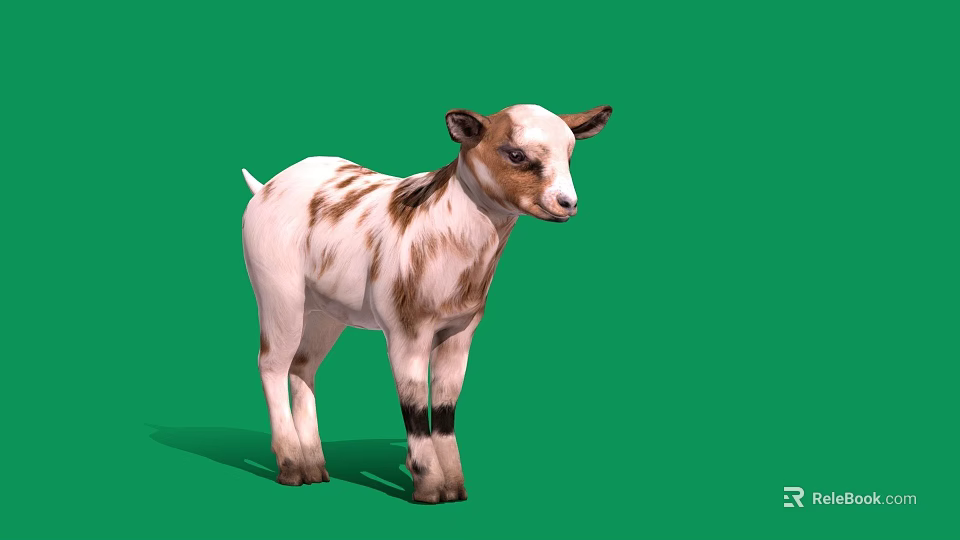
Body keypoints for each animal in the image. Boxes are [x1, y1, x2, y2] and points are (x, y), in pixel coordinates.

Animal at [241, 104, 613, 503]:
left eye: (570, 156)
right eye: (515, 154)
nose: (567, 203)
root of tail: (266, 187)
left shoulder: (460, 330)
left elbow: (445, 406)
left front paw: (455, 487)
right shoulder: (406, 331)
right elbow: (415, 405)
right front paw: (429, 487)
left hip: (327, 312)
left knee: (303, 366)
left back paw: (315, 468)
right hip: (279, 291)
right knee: (272, 364)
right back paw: (292, 467)